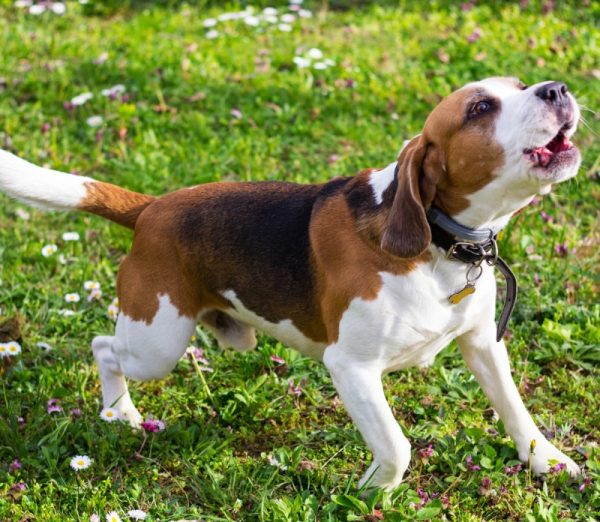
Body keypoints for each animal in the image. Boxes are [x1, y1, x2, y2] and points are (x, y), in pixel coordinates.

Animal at [0, 77, 580, 488]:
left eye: (521, 84)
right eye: (480, 109)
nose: (557, 89)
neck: (441, 247)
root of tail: (150, 209)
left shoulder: (483, 344)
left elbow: (518, 414)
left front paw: (549, 463)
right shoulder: (350, 366)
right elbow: (396, 447)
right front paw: (371, 491)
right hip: (156, 343)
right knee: (103, 346)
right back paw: (120, 412)